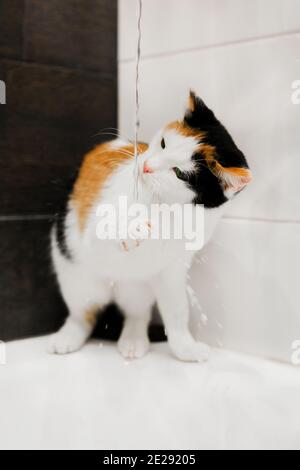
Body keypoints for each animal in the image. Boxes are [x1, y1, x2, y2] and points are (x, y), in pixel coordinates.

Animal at [49, 92, 251, 364]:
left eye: (179, 173)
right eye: (164, 143)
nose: (147, 166)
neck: (166, 207)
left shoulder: (173, 271)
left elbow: (177, 312)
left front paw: (186, 348)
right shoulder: (94, 226)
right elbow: (104, 228)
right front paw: (132, 229)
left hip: (137, 288)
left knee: (137, 314)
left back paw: (133, 340)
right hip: (78, 279)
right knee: (83, 313)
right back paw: (68, 336)